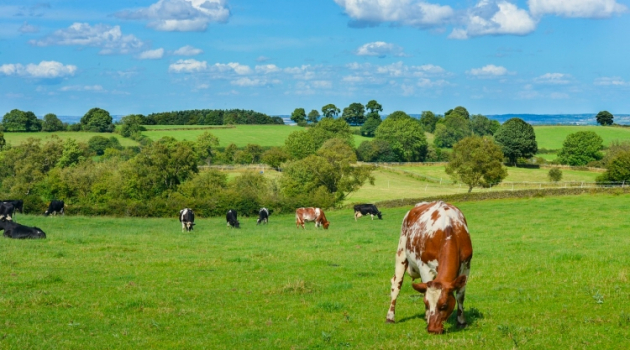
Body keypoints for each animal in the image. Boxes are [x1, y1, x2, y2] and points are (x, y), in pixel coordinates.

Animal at [386, 200, 474, 334]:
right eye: (427, 304)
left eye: (444, 305)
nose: (433, 329)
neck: (449, 229)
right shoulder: (425, 267)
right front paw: (428, 316)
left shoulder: (466, 266)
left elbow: (460, 295)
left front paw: (461, 322)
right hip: (401, 252)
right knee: (396, 285)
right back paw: (390, 317)